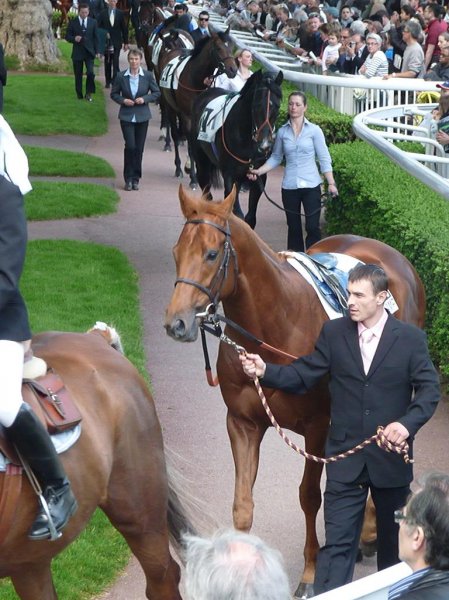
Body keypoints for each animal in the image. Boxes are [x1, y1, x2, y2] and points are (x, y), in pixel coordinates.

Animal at [164, 186, 424, 596]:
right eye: (176, 252)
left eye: (210, 254)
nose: (177, 322)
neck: (275, 324)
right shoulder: (242, 422)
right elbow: (242, 504)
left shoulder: (318, 426)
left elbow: (309, 496)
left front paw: (310, 573)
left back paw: (367, 531)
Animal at [190, 68, 282, 221]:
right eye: (256, 105)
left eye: (278, 106)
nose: (265, 144)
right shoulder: (229, 176)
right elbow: (237, 215)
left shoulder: (259, 176)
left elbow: (250, 218)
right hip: (202, 162)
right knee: (206, 193)